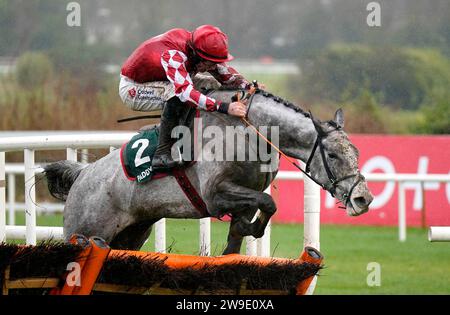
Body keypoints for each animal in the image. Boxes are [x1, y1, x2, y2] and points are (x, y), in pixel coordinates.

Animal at [43, 89, 372, 254]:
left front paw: (248, 229)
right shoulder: (215, 195)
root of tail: (82, 175)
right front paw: (254, 229)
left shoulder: (245, 197)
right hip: (86, 230)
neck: (249, 132)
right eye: (332, 155)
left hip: (132, 233)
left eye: (356, 152)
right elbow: (268, 202)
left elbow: (244, 230)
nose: (363, 199)